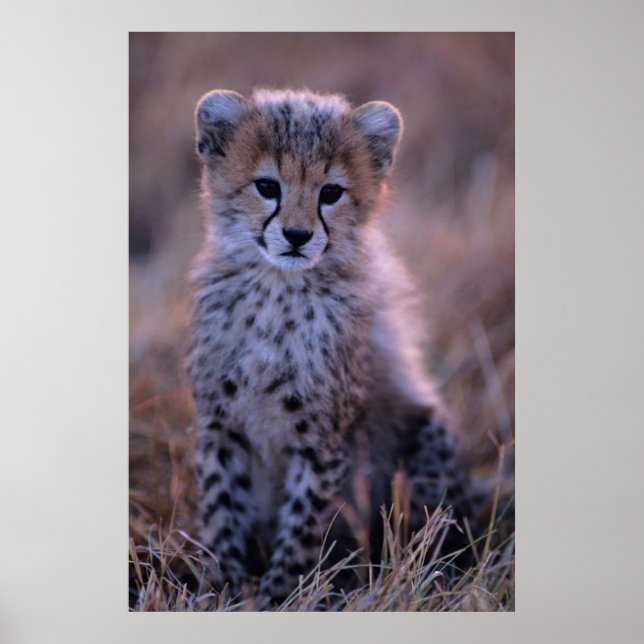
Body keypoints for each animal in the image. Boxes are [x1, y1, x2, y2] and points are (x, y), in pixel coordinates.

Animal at [187, 88, 480, 604]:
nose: (297, 236)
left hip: (425, 432)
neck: (278, 290)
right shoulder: (219, 426)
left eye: (330, 193)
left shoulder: (321, 441)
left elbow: (302, 527)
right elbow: (223, 512)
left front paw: (278, 598)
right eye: (267, 186)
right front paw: (224, 590)